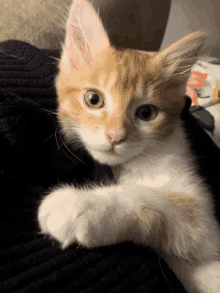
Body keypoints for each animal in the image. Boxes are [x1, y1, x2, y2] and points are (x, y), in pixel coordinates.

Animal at [38, 1, 220, 290]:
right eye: (93, 99)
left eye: (146, 113)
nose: (115, 136)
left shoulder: (203, 224)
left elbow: (152, 199)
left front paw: (83, 205)